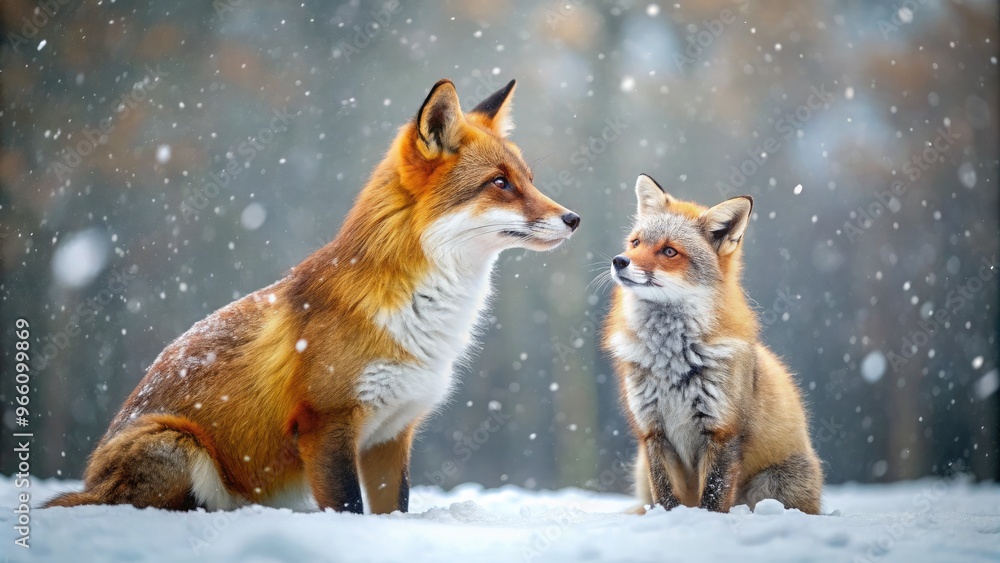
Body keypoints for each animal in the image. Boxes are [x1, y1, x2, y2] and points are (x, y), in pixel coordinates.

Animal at [45, 79, 580, 513]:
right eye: (500, 183)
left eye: (528, 179)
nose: (574, 218)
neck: (420, 314)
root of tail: (89, 482)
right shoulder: (326, 424)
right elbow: (347, 508)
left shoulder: (392, 434)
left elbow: (393, 508)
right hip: (180, 445)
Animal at [602, 174, 822, 514]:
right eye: (636, 243)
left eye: (669, 252)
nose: (619, 260)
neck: (670, 357)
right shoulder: (652, 431)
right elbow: (665, 496)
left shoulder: (722, 431)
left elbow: (713, 497)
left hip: (771, 486)